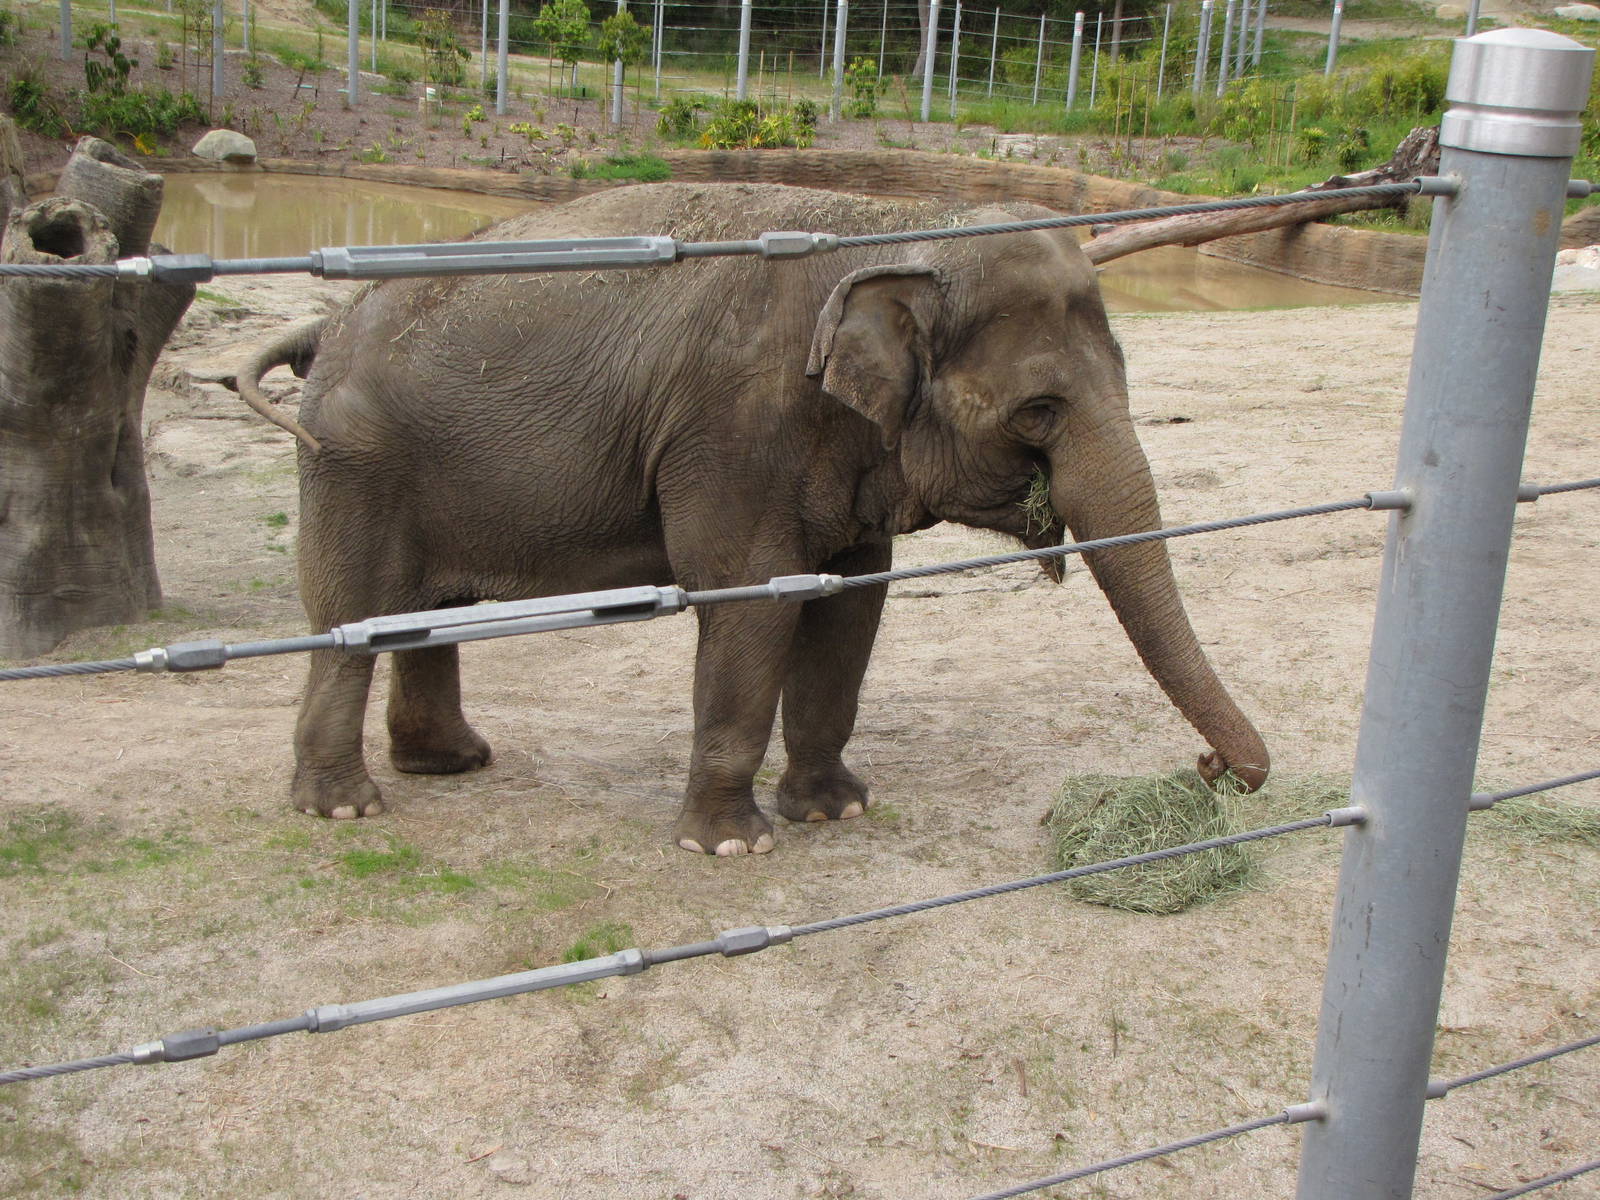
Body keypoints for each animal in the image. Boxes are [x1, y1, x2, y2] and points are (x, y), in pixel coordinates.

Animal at [235, 182, 1268, 856]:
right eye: (1040, 411)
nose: (1213, 768)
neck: (884, 235)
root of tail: (326, 324)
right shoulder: (731, 430)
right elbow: (750, 601)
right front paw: (732, 848)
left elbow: (851, 604)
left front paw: (836, 812)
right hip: (354, 464)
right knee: (353, 618)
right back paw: (344, 810)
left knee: (421, 614)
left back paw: (451, 764)